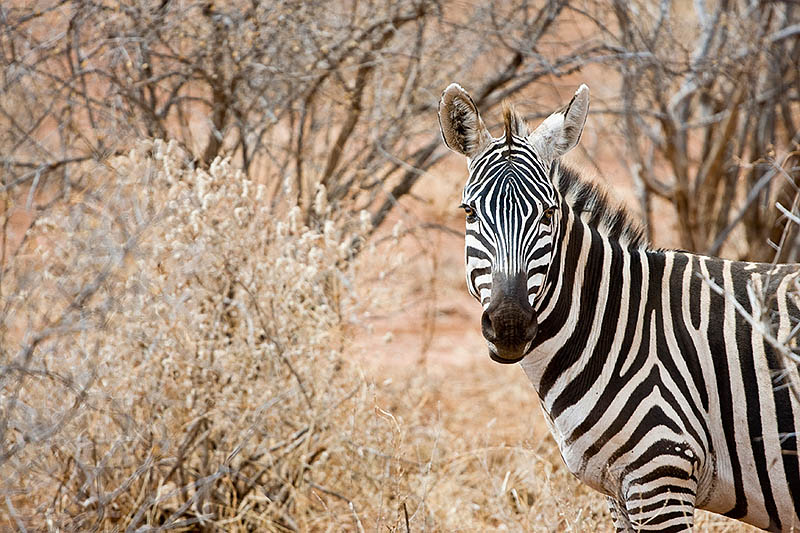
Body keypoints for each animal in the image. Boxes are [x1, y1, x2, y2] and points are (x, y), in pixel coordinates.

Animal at [438, 83, 800, 532]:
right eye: (469, 212)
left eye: (549, 212)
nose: (509, 325)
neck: (618, 325)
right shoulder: (618, 492)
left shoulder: (661, 477)